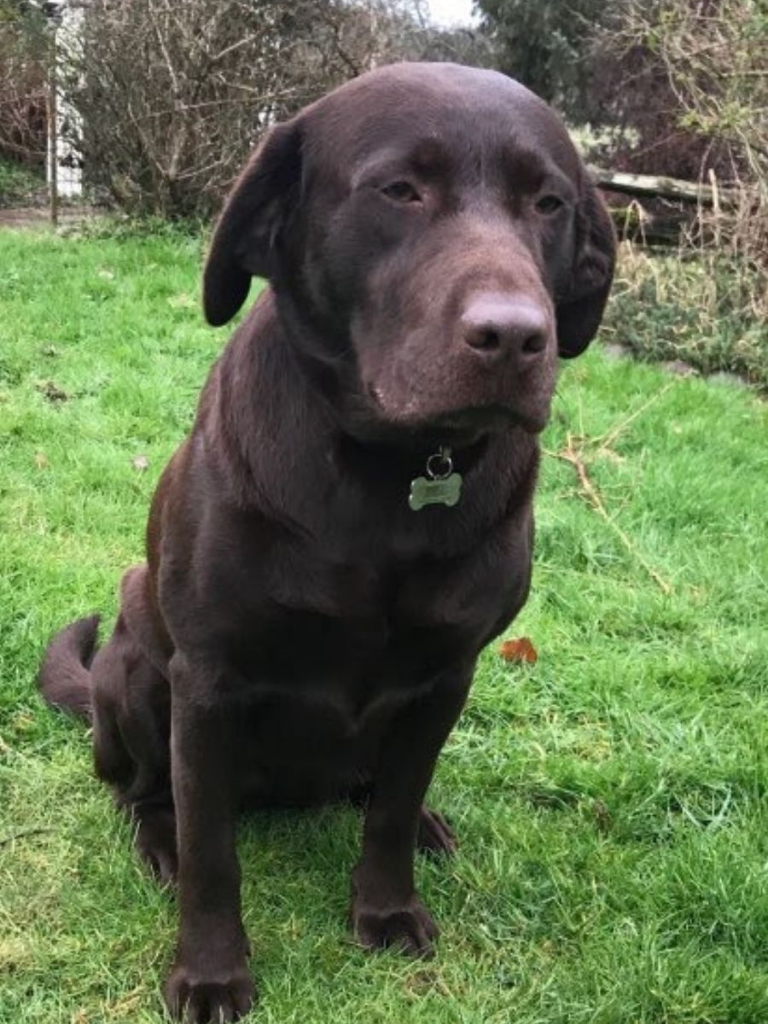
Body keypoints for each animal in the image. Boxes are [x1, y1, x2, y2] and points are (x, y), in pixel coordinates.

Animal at [39, 61, 618, 1015]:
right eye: (401, 190)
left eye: (549, 203)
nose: (514, 336)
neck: (391, 475)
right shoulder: (208, 684)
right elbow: (213, 856)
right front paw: (211, 972)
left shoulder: (444, 675)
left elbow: (390, 811)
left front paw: (386, 909)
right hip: (133, 665)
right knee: (141, 791)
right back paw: (155, 837)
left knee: (375, 792)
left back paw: (426, 826)